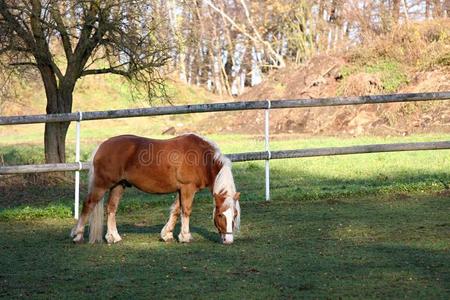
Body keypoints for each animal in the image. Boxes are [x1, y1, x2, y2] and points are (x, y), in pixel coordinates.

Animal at [69, 133, 241, 244]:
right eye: (220, 215)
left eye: (234, 215)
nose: (228, 240)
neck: (202, 157)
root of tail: (102, 146)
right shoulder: (187, 189)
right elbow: (186, 211)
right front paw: (185, 236)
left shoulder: (181, 190)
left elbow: (176, 211)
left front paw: (167, 234)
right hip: (101, 185)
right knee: (88, 204)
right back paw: (77, 235)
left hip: (119, 186)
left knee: (111, 209)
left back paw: (113, 237)